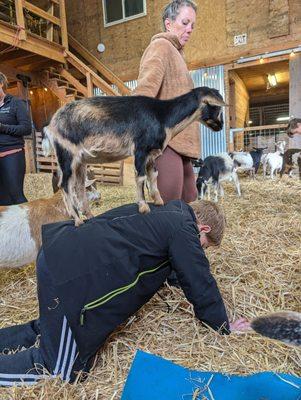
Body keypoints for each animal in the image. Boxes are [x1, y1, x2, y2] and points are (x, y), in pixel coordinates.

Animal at [42, 86, 225, 227]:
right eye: (216, 107)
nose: (221, 126)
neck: (162, 116)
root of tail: (51, 126)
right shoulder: (140, 149)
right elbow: (141, 177)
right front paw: (143, 207)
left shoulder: (152, 155)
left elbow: (153, 175)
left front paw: (158, 201)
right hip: (66, 155)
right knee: (65, 185)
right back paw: (77, 220)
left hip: (80, 161)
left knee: (79, 187)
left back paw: (90, 216)